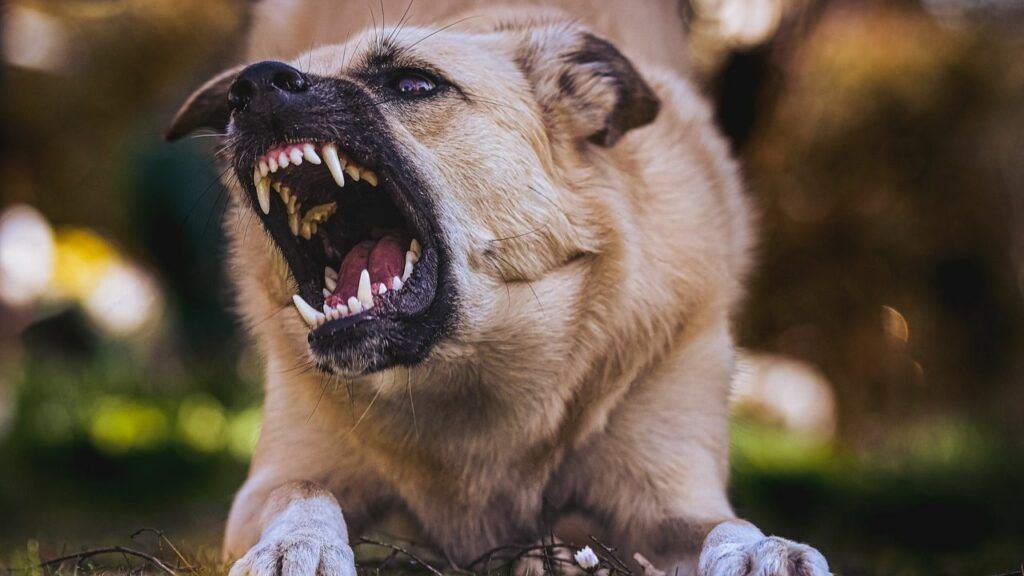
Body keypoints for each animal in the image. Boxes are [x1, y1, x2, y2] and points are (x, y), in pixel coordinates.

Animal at [165, 2, 831, 569]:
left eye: (414, 83)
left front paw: (763, 549)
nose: (250, 88)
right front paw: (296, 546)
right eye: (237, 98)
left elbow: (726, 525)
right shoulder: (273, 481)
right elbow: (304, 490)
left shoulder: (667, 499)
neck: (468, 378)